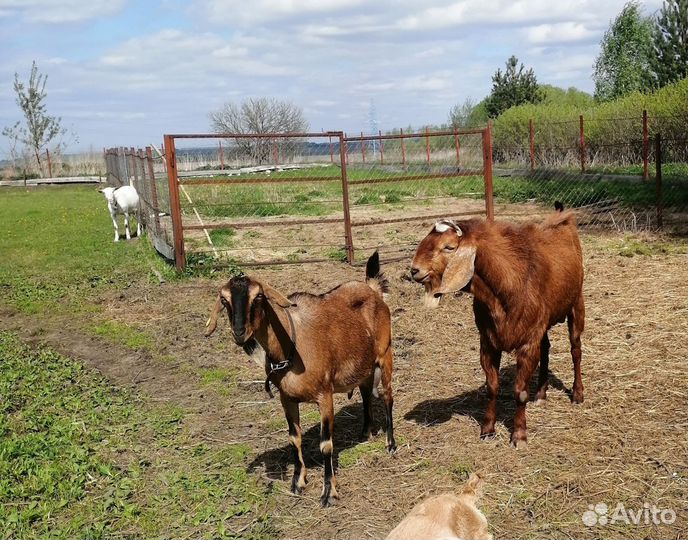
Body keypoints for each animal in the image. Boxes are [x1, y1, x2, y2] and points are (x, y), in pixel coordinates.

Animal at [205, 251, 395, 506]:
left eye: (258, 297)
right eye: (225, 300)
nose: (239, 332)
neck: (291, 346)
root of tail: (372, 290)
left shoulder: (325, 396)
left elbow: (326, 445)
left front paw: (329, 492)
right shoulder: (286, 399)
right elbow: (294, 439)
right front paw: (298, 483)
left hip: (385, 355)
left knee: (387, 396)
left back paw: (391, 444)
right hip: (362, 364)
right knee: (365, 393)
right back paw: (366, 431)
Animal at [410, 205, 584, 448]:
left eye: (449, 247)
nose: (414, 270)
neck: (508, 286)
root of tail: (563, 218)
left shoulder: (527, 343)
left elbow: (520, 392)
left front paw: (519, 435)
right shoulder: (488, 341)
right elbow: (492, 388)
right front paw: (487, 429)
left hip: (577, 302)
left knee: (576, 349)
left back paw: (577, 394)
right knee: (546, 348)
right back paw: (541, 394)